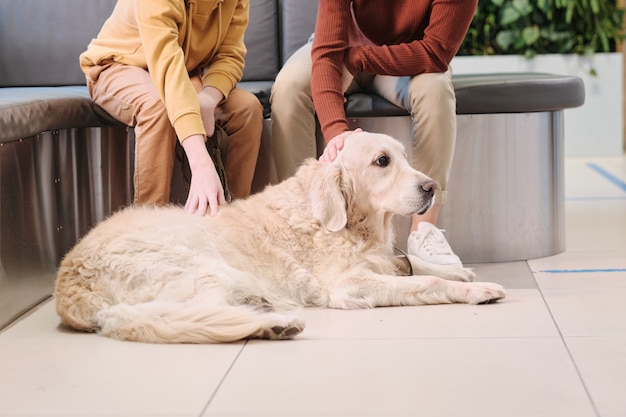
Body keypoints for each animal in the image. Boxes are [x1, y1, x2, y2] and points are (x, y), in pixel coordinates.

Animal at [53, 131, 502, 342]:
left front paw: (459, 273)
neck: (348, 221)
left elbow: (411, 265)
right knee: (188, 315)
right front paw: (472, 290)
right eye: (382, 162)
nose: (430, 187)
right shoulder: (348, 284)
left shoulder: (381, 259)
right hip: (202, 266)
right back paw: (269, 323)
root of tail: (68, 287)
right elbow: (422, 283)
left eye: (405, 158)